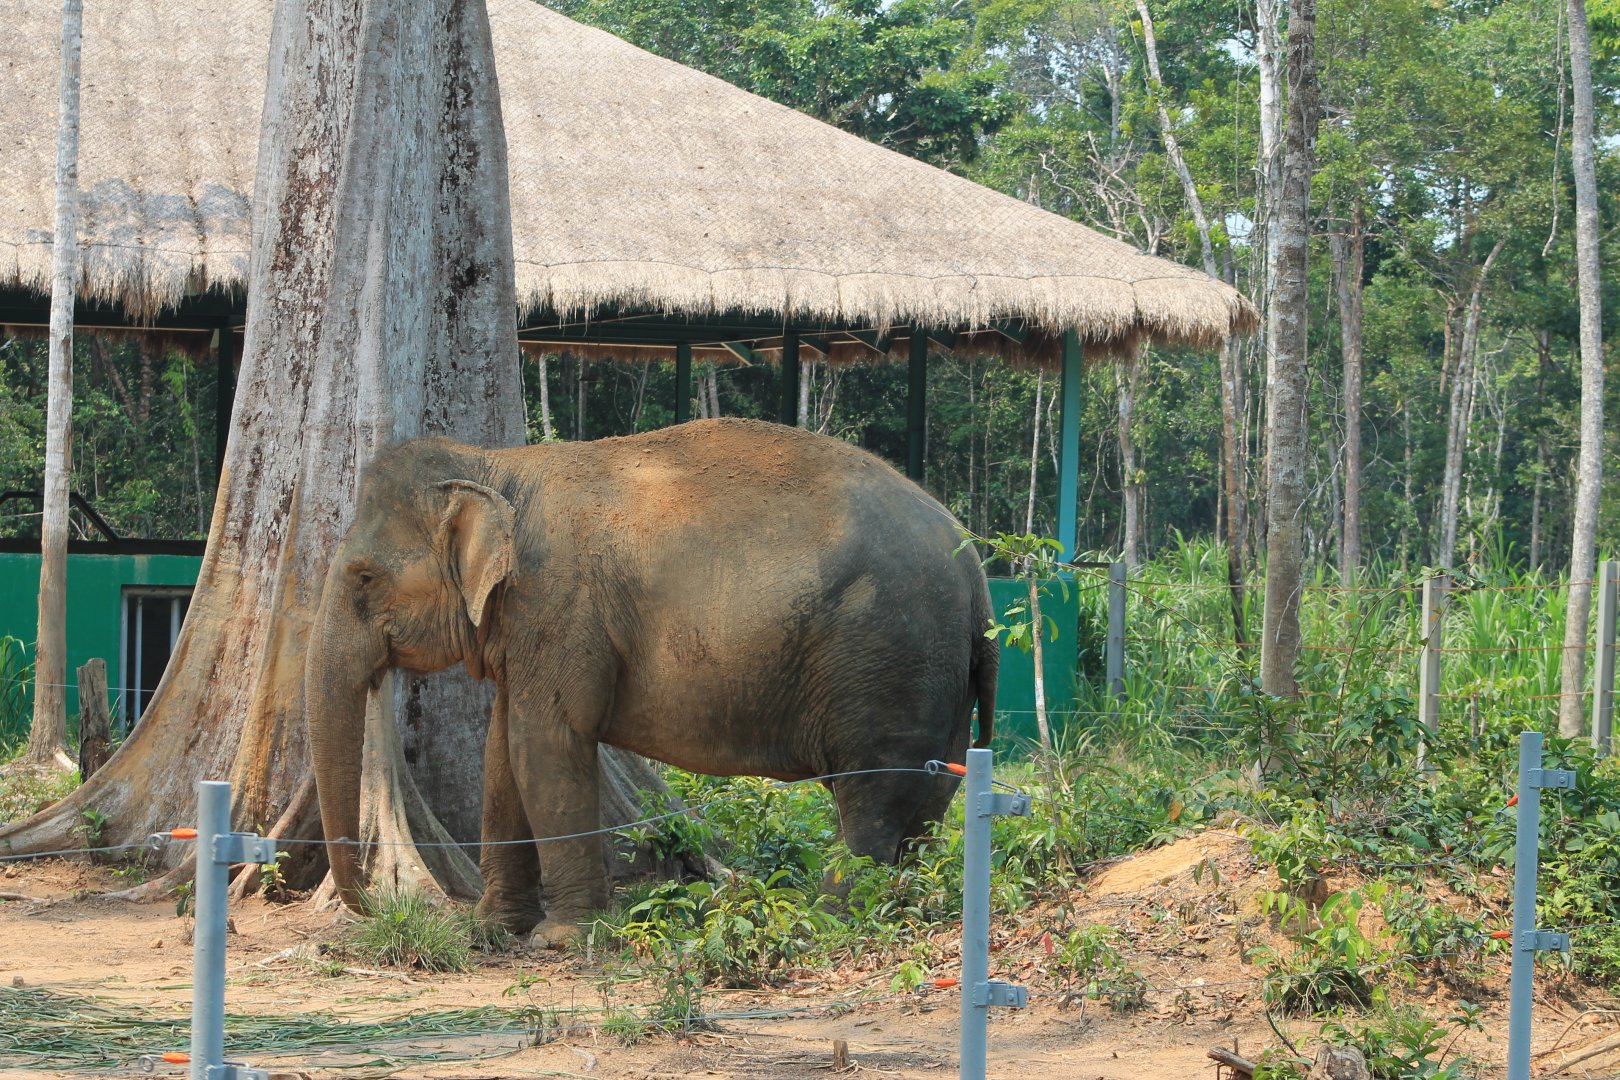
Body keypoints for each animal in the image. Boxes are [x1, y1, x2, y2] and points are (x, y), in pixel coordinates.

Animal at [305, 417, 999, 942]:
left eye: (364, 577)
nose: (371, 904)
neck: (498, 468)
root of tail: (976, 569)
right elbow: (503, 750)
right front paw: (492, 932)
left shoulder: (557, 606)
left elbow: (544, 745)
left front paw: (564, 939)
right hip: (936, 674)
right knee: (927, 797)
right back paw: (901, 901)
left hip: (885, 657)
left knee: (873, 797)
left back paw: (826, 917)